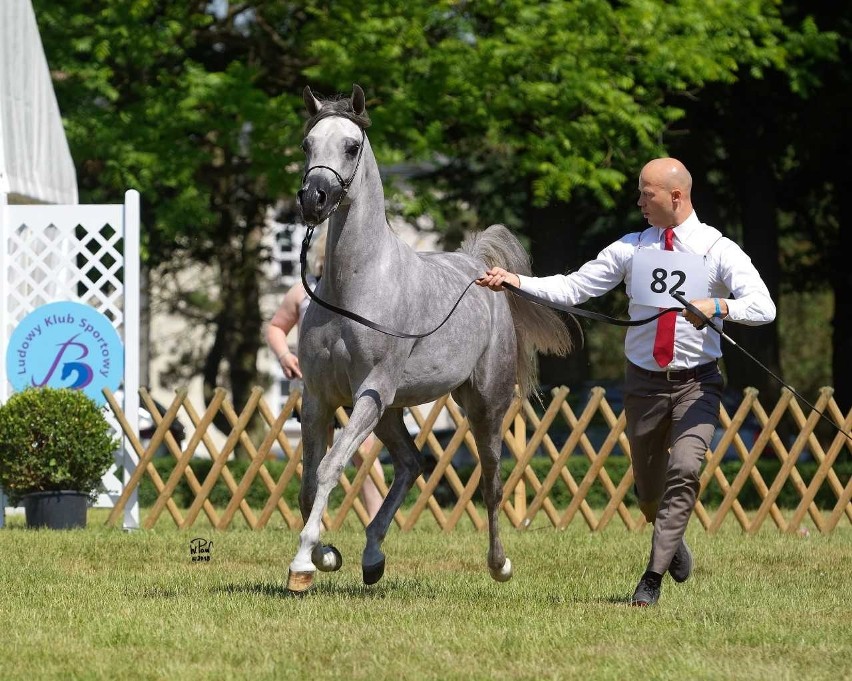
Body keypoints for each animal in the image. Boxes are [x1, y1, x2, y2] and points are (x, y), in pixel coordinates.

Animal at [286, 85, 572, 592]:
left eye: (351, 147)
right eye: (307, 145)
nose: (314, 200)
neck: (352, 288)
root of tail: (479, 268)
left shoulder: (369, 391)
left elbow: (329, 467)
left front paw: (303, 563)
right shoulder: (319, 397)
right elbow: (308, 481)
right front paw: (327, 555)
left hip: (482, 405)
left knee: (491, 482)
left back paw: (499, 564)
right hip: (389, 412)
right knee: (411, 464)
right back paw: (373, 556)